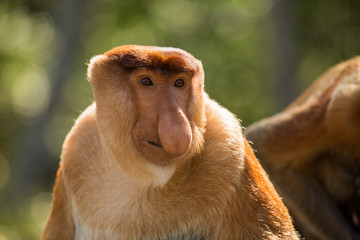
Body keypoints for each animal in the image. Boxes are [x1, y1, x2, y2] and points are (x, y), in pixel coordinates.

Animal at [41, 45, 298, 240]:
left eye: (179, 83)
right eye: (146, 81)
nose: (177, 123)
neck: (145, 179)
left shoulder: (228, 146)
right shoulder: (78, 146)